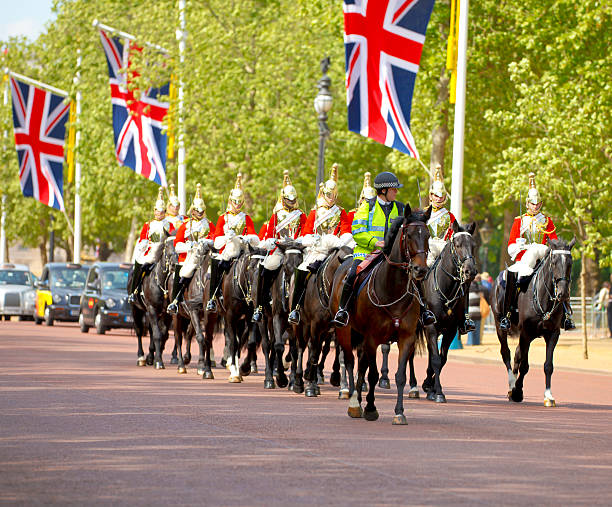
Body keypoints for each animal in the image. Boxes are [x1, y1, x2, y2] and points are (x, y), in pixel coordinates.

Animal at [129, 236, 176, 372]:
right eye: (167, 246)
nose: (174, 264)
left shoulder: (167, 313)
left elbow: (163, 334)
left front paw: (155, 357)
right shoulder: (152, 309)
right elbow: (157, 335)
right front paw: (159, 361)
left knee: (150, 330)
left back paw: (150, 356)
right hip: (136, 309)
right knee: (139, 330)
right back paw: (141, 357)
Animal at [330, 205, 430, 424]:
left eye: (427, 235)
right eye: (408, 235)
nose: (420, 269)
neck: (393, 289)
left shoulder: (406, 338)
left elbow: (399, 375)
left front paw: (399, 412)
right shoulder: (372, 338)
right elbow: (373, 374)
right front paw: (370, 408)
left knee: (361, 365)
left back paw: (358, 399)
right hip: (345, 331)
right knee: (350, 362)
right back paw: (353, 402)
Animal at [408, 220, 480, 402]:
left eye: (474, 245)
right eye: (457, 244)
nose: (470, 271)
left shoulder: (450, 330)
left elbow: (442, 358)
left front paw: (431, 387)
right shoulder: (431, 327)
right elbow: (435, 359)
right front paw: (438, 392)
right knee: (410, 353)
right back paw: (412, 386)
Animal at [492, 238, 572, 408]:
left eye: (570, 261)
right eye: (554, 261)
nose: (563, 294)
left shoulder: (553, 334)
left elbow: (548, 365)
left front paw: (548, 396)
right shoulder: (526, 333)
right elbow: (525, 365)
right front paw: (517, 391)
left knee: (516, 354)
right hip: (500, 326)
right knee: (506, 353)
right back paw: (512, 384)